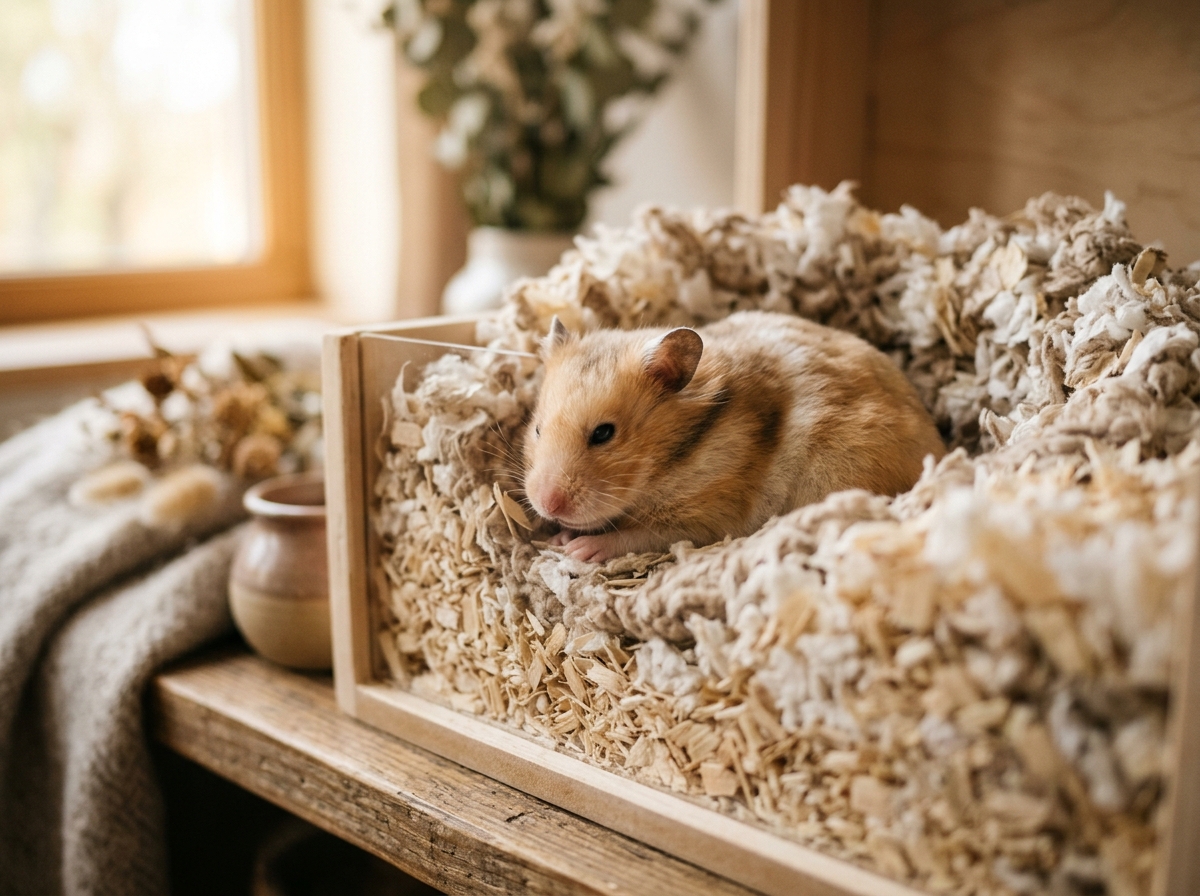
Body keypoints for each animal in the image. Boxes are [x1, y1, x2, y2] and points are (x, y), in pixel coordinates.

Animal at [522, 310, 945, 562]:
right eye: (538, 428)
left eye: (604, 433)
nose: (547, 505)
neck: (676, 457)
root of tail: (942, 451)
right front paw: (557, 540)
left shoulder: (704, 521)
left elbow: (636, 536)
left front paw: (577, 548)